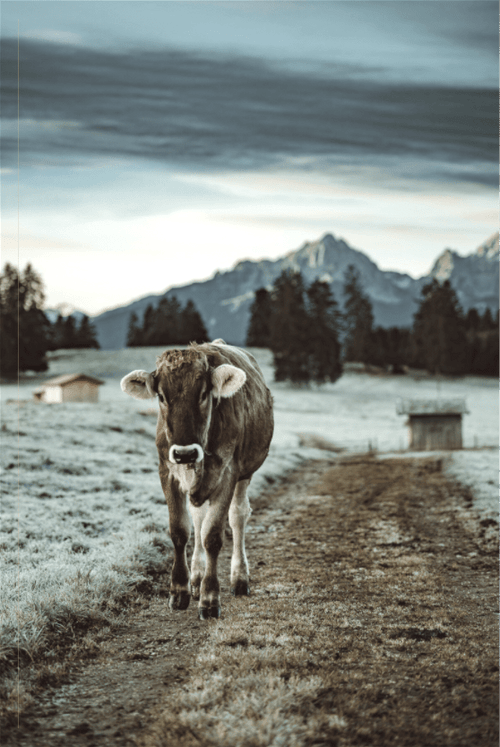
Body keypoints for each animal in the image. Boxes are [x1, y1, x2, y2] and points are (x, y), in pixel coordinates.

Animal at [120, 340, 274, 620]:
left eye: (203, 394)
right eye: (161, 396)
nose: (185, 453)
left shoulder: (228, 472)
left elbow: (212, 536)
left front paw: (210, 598)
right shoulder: (167, 471)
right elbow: (180, 530)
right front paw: (179, 590)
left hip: (246, 473)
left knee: (237, 516)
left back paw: (239, 579)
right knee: (198, 518)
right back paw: (197, 578)